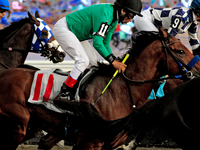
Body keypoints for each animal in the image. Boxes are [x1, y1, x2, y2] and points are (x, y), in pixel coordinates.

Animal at [1, 28, 200, 150]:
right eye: (181, 51)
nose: (198, 70)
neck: (120, 92)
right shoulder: (89, 142)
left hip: (31, 126)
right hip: (16, 127)